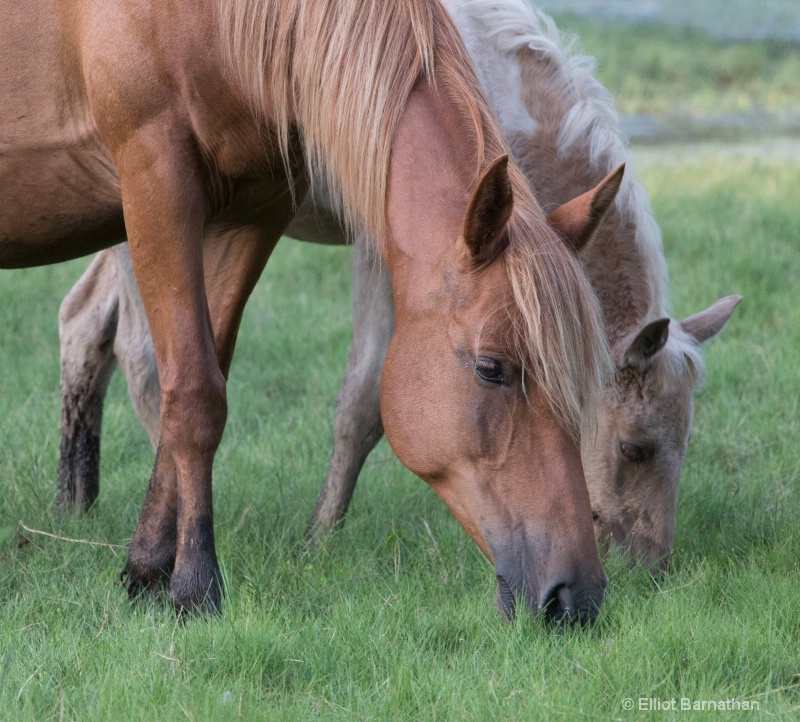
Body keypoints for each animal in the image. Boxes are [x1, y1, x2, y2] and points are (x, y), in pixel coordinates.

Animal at [56, 0, 740, 572]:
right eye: (636, 448)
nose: (650, 567)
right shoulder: (384, 255)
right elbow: (362, 403)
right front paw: (321, 537)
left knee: (83, 317)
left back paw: (74, 502)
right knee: (140, 354)